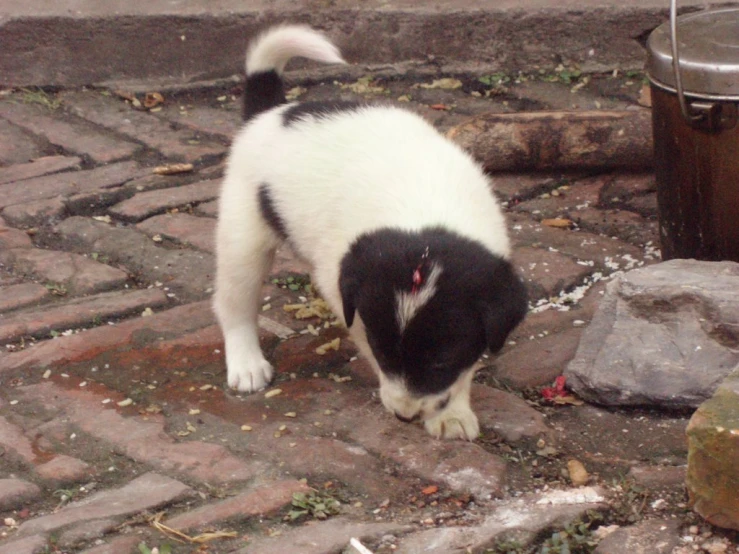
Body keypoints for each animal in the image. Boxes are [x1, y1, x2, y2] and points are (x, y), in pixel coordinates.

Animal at [212, 27, 528, 440]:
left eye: (440, 361)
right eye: (382, 350)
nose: (405, 416)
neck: (424, 203)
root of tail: (271, 113)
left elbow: (466, 366)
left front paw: (453, 411)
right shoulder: (345, 289)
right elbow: (361, 331)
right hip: (243, 235)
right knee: (234, 303)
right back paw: (246, 363)